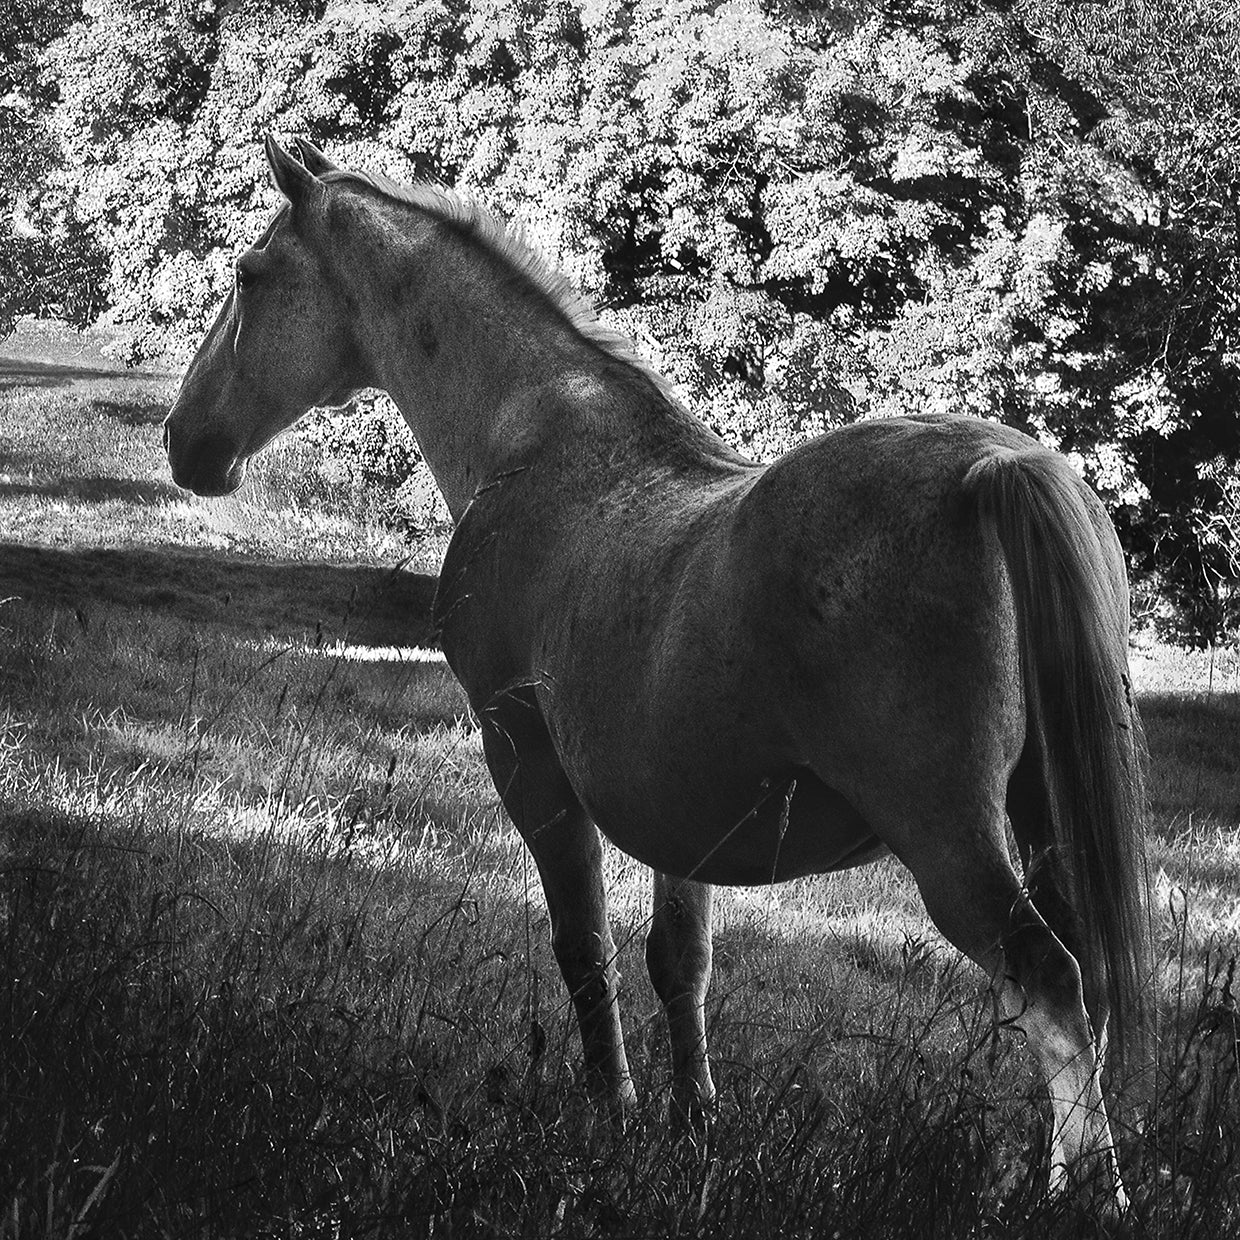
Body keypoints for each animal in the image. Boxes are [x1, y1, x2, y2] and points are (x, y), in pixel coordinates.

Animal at [163, 136, 1152, 1208]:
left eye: (247, 275)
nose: (186, 442)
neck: (540, 439)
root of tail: (993, 471)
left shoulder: (526, 760)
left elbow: (583, 943)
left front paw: (614, 1108)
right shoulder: (690, 819)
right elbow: (682, 962)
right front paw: (692, 1123)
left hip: (949, 839)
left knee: (1047, 981)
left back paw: (1086, 1196)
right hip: (1041, 817)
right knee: (1083, 983)